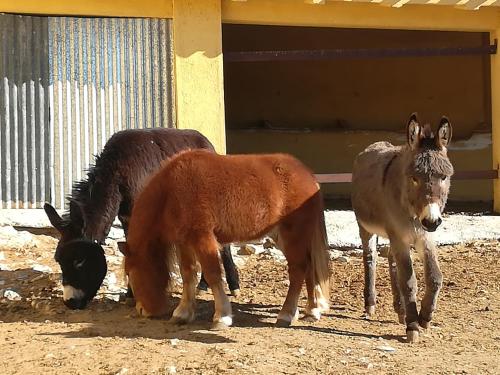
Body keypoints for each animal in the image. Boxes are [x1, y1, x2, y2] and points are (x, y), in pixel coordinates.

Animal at [119, 150, 330, 328]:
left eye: (130, 273)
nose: (142, 309)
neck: (171, 190)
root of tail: (309, 177)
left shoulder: (203, 237)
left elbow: (212, 273)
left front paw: (222, 316)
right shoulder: (184, 241)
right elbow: (188, 273)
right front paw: (183, 313)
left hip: (294, 234)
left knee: (298, 270)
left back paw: (287, 314)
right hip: (285, 237)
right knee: (309, 267)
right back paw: (312, 310)